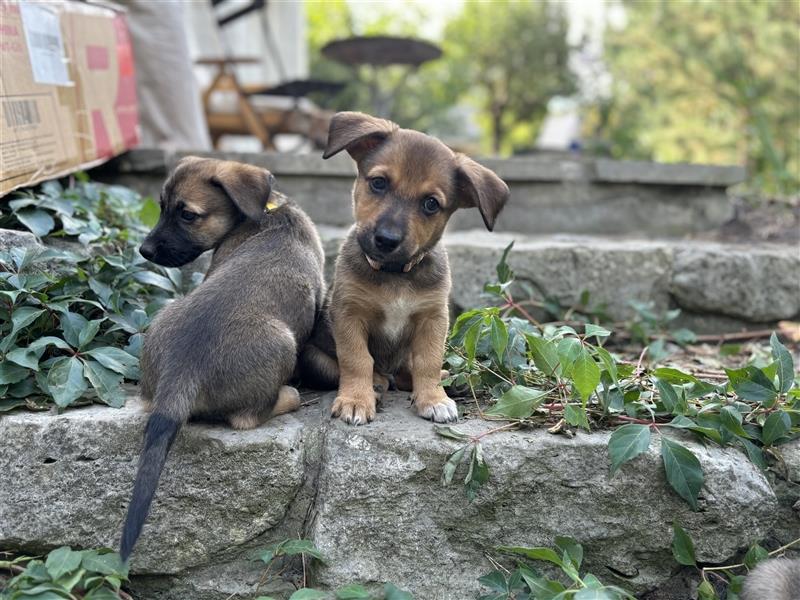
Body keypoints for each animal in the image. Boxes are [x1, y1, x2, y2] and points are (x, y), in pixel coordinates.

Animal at [117, 157, 324, 560]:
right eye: (162, 206)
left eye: (186, 214)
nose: (144, 251)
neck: (268, 212)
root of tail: (183, 371)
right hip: (282, 344)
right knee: (248, 416)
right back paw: (289, 396)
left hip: (163, 321)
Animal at [296, 110, 510, 424]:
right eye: (379, 183)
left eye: (431, 204)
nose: (386, 240)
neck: (394, 273)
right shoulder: (349, 315)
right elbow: (356, 360)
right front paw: (355, 400)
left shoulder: (433, 318)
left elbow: (428, 361)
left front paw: (433, 398)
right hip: (314, 358)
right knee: (357, 371)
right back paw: (376, 384)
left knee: (406, 372)